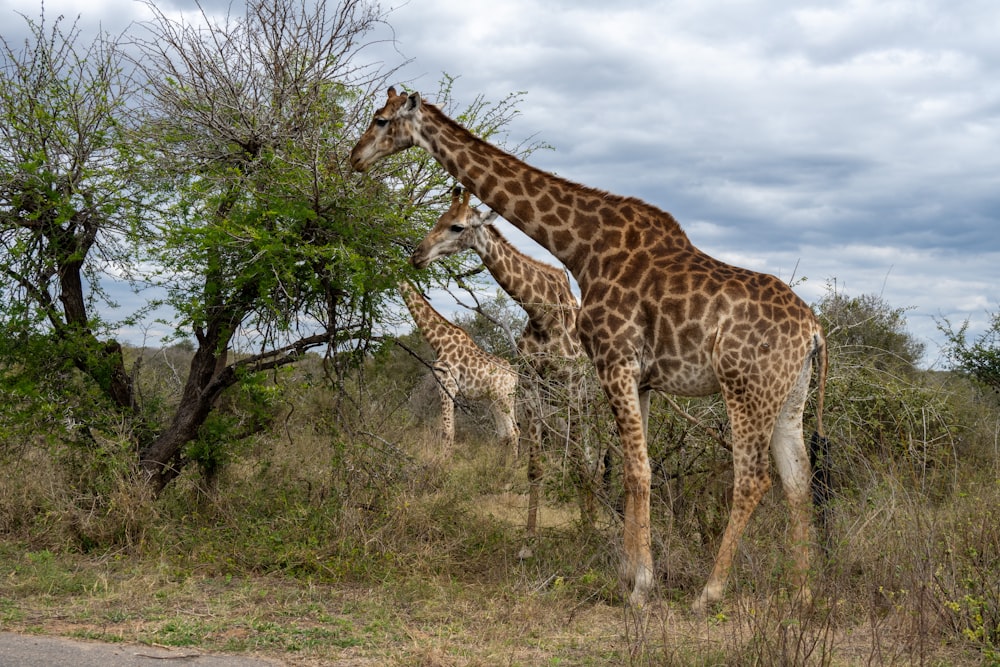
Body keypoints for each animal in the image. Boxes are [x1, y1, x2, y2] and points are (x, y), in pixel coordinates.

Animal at [394, 280, 520, 456]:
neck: (439, 341)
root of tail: (515, 375)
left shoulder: (446, 384)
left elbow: (448, 431)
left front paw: (442, 462)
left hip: (502, 397)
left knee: (513, 432)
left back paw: (513, 464)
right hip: (495, 399)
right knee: (505, 433)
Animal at [412, 187, 600, 552]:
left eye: (456, 226)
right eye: (438, 218)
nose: (417, 255)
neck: (541, 315)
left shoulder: (569, 385)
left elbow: (578, 463)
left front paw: (588, 533)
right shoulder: (531, 388)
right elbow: (535, 466)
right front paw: (529, 539)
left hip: (587, 399)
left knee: (593, 457)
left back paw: (596, 523)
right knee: (579, 454)